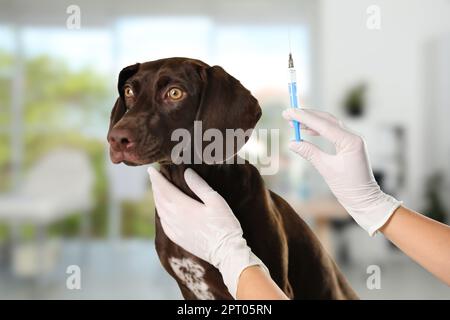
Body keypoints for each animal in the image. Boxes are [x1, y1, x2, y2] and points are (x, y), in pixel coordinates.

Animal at [107, 57, 356, 300]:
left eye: (175, 93)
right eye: (129, 91)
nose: (116, 139)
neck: (189, 190)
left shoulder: (277, 282)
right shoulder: (188, 289)